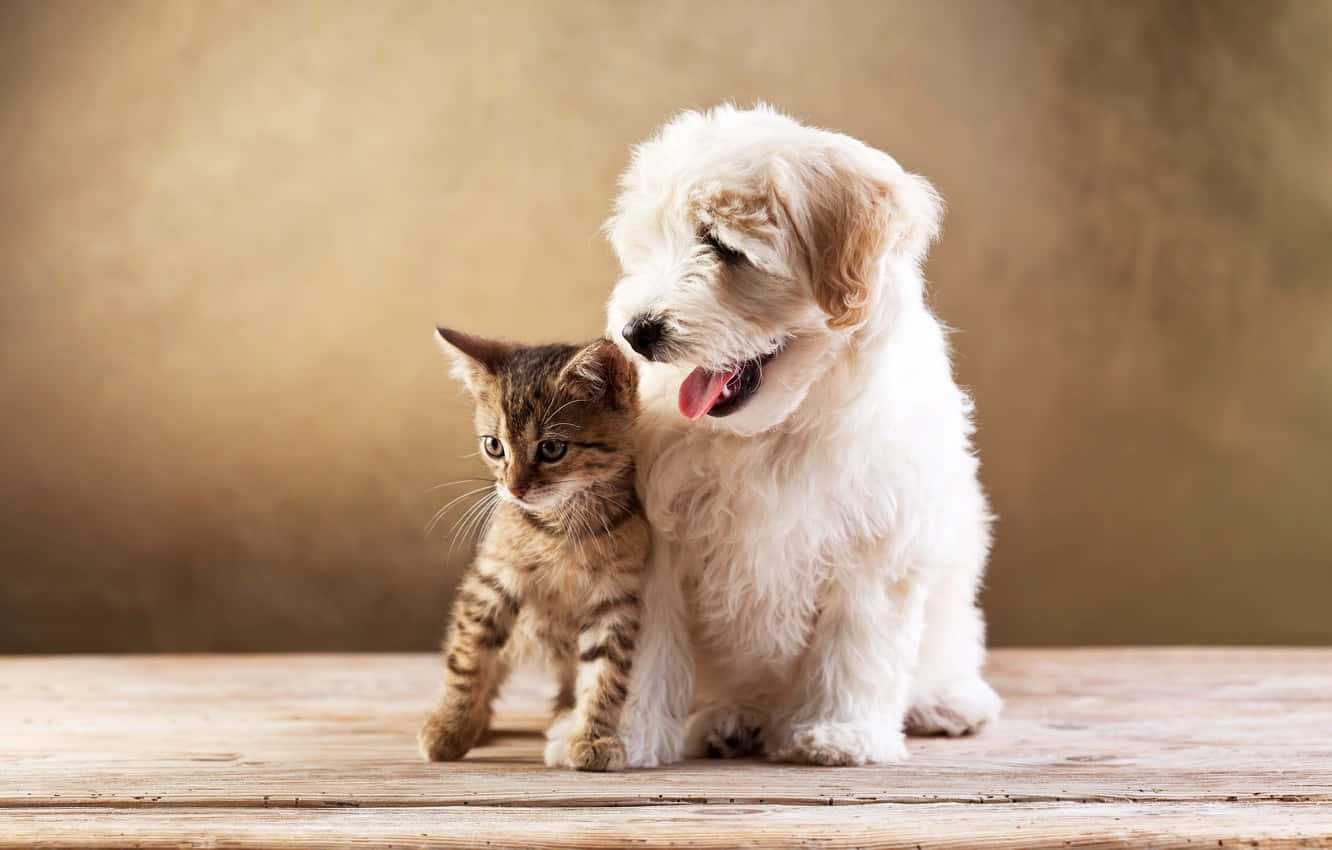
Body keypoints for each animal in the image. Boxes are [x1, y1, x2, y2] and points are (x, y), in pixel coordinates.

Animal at [415, 330, 644, 778]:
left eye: (552, 448)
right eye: (493, 446)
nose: (514, 488)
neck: (562, 527)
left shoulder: (616, 597)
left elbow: (606, 674)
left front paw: (592, 738)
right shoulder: (491, 580)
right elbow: (468, 658)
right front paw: (449, 728)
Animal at [604, 103, 1001, 767]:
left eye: (723, 246)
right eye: (648, 246)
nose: (638, 331)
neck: (774, 429)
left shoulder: (876, 539)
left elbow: (856, 641)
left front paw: (840, 734)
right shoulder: (657, 539)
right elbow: (643, 645)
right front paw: (618, 735)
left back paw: (945, 701)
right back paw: (730, 719)